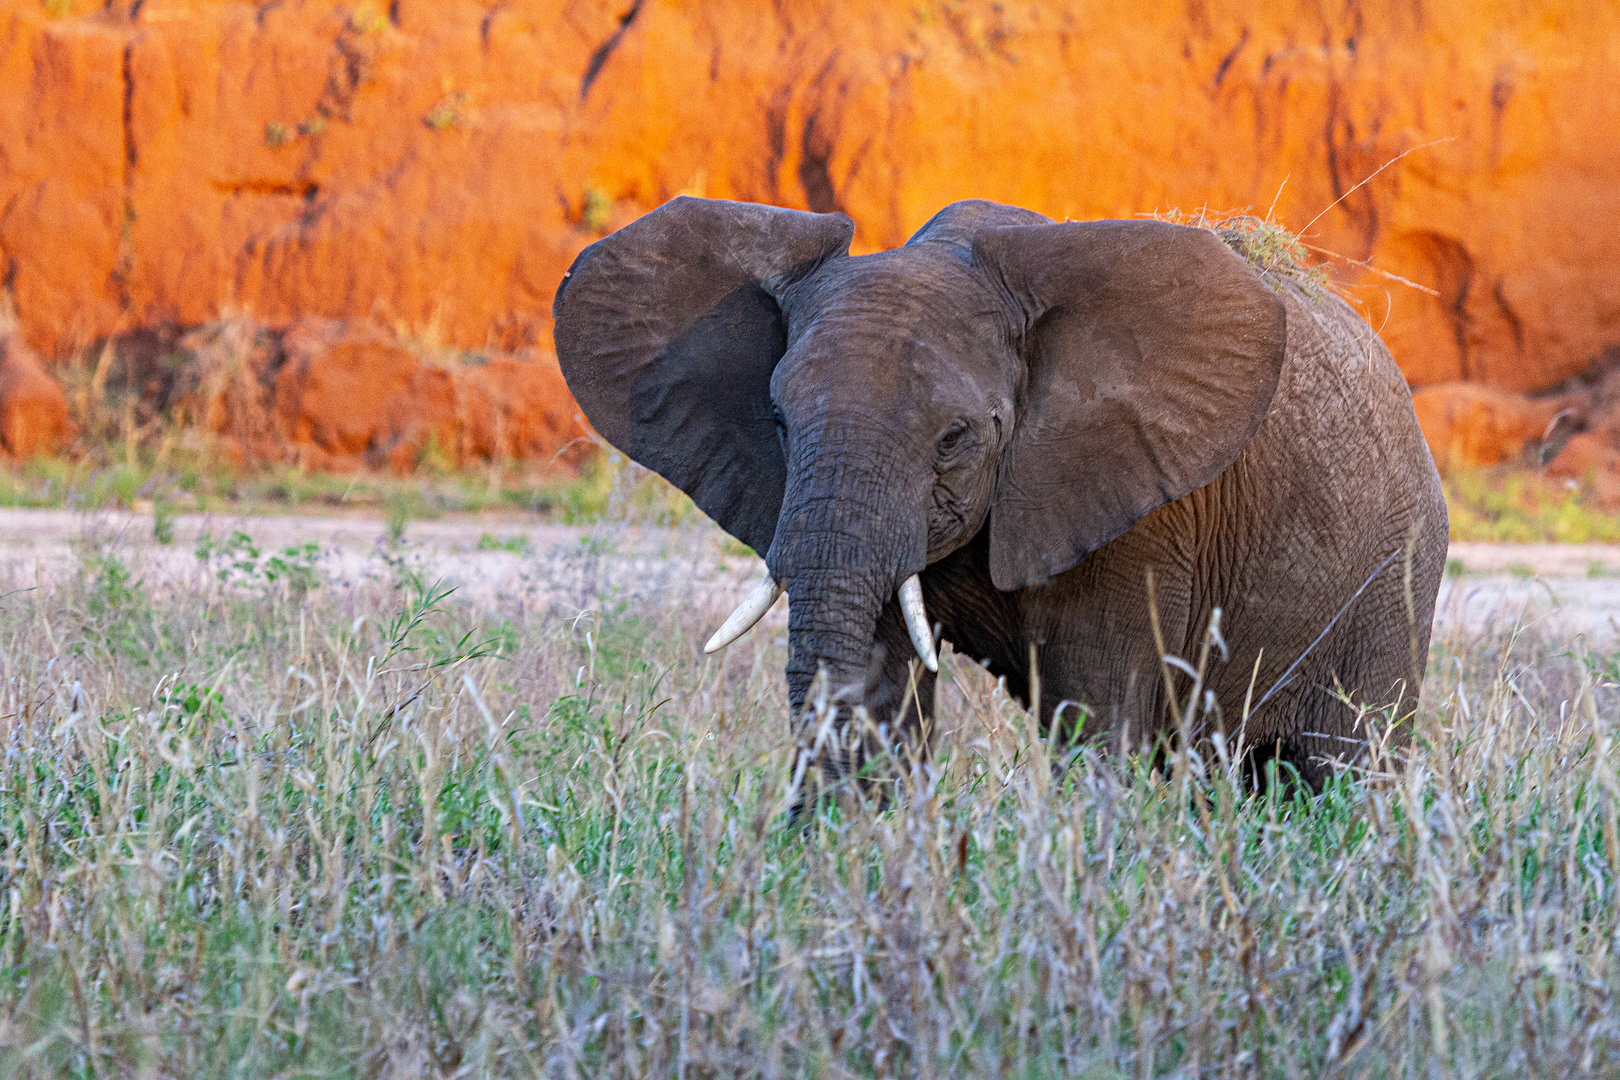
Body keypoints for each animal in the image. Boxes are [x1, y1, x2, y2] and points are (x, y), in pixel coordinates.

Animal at [550, 198, 1451, 793]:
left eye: (956, 438)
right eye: (777, 420)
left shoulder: (1140, 518)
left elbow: (1095, 715)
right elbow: (881, 690)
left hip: (1395, 583)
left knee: (1346, 767)